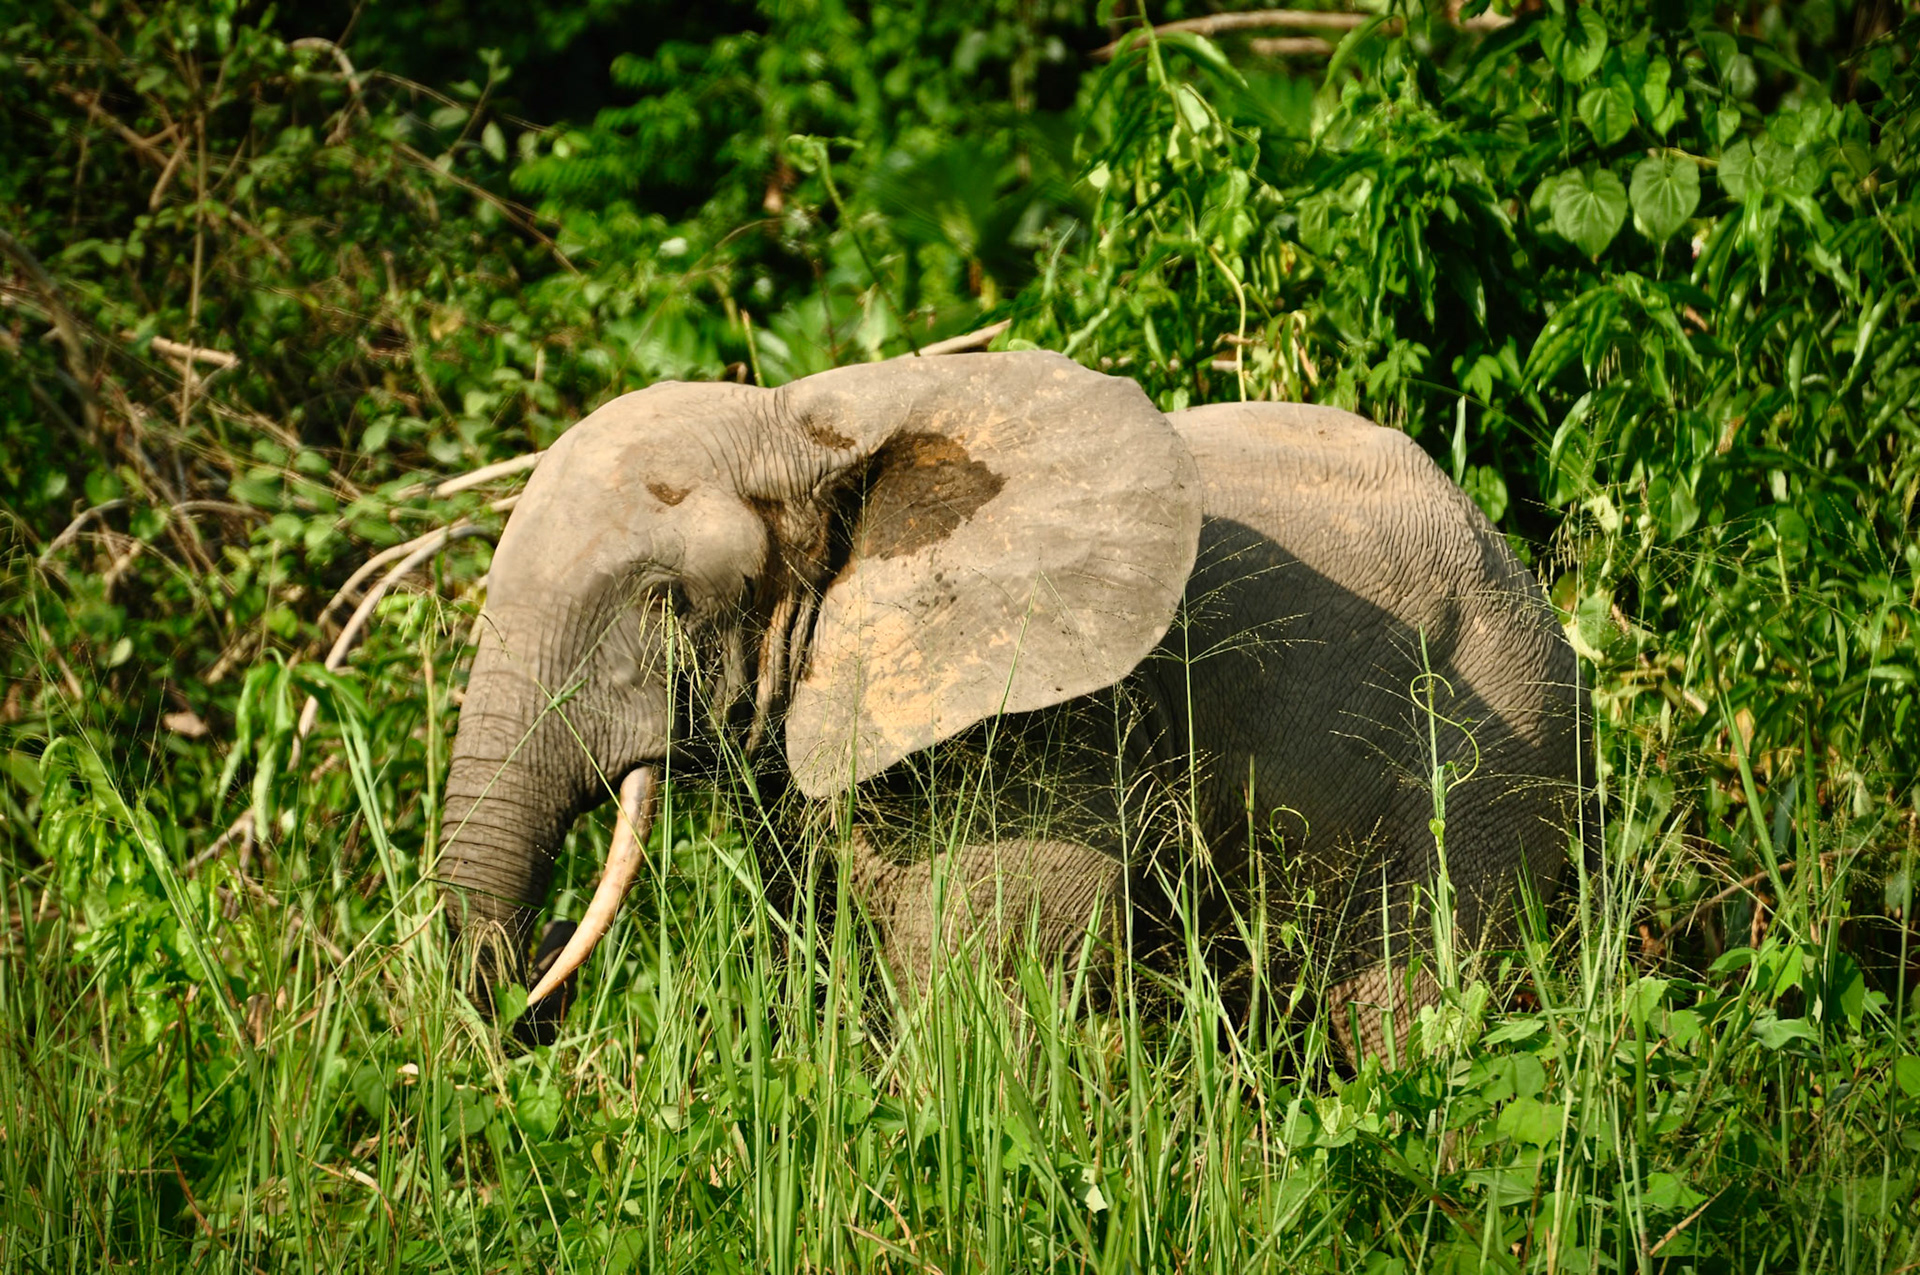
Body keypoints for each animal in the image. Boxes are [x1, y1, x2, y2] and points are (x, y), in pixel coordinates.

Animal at [434, 350, 1585, 1060]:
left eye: (665, 600)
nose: (537, 974)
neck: (802, 422)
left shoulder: (1045, 719)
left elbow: (985, 979)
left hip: (1489, 764)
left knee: (1413, 1016)